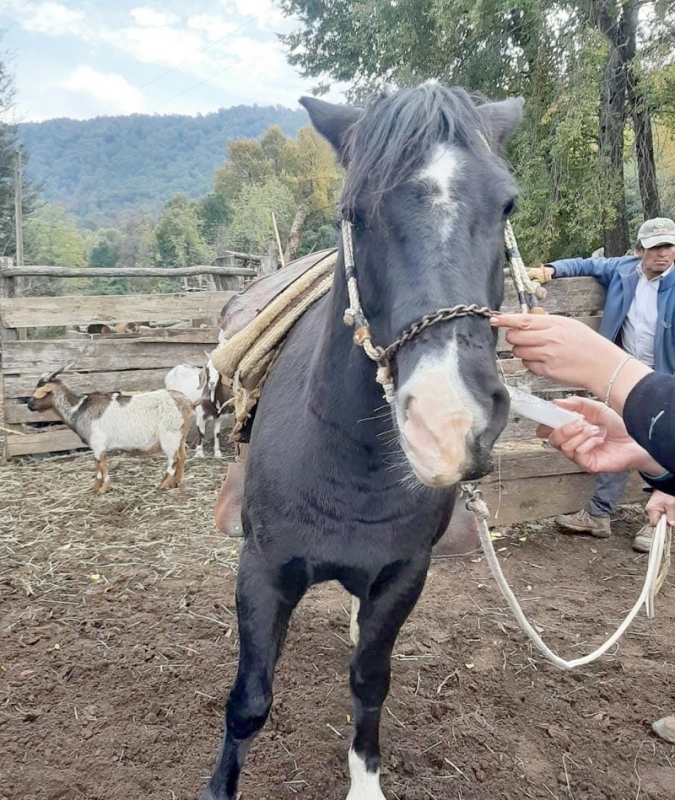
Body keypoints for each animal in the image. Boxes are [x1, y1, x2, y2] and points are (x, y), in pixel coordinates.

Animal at [27, 370, 194, 494]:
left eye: (40, 390)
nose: (29, 405)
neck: (78, 409)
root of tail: (188, 402)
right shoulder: (95, 445)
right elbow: (97, 465)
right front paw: (95, 486)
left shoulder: (98, 443)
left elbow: (102, 464)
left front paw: (104, 488)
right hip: (181, 435)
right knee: (183, 455)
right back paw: (177, 481)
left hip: (169, 435)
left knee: (174, 458)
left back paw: (164, 484)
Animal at [203, 83, 524, 800]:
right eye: (353, 210)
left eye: (507, 203)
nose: (445, 419)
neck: (352, 463)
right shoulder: (262, 570)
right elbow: (248, 700)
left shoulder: (403, 574)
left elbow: (369, 681)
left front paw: (364, 781)